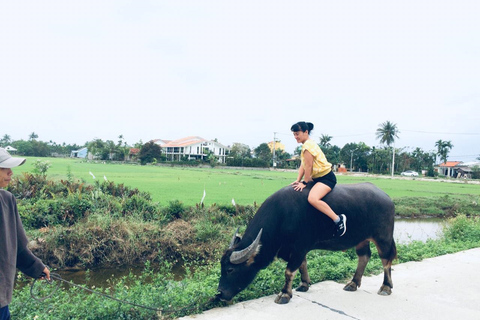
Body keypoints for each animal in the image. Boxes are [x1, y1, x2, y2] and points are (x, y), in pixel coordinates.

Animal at [216, 181, 396, 304]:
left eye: (230, 269)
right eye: (221, 267)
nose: (219, 294)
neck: (283, 216)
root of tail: (387, 197)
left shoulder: (299, 247)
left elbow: (289, 271)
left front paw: (284, 294)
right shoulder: (292, 249)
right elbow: (302, 264)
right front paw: (304, 284)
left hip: (383, 237)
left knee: (386, 259)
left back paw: (386, 287)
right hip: (361, 239)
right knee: (364, 256)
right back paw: (353, 283)